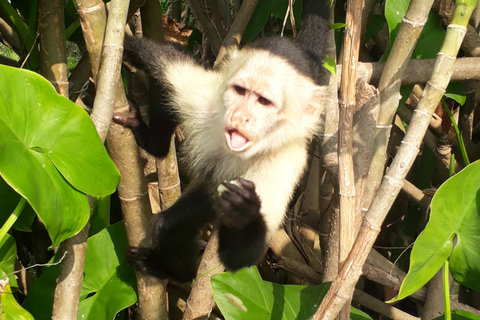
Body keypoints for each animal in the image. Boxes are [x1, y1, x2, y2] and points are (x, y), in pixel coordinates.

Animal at [120, 0, 330, 282]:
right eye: (241, 91)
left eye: (264, 101)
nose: (240, 116)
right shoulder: (205, 99)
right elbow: (162, 58)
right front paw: (118, 42)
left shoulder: (282, 161)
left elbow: (243, 256)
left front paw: (245, 214)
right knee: (168, 226)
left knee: (171, 225)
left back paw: (176, 273)